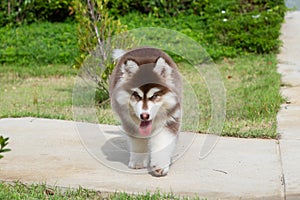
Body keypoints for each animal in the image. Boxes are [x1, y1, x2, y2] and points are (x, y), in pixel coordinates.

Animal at [109, 47, 182, 177]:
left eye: (154, 96)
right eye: (136, 96)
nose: (144, 116)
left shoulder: (170, 120)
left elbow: (162, 142)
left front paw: (160, 166)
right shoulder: (130, 123)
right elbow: (137, 142)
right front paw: (138, 161)